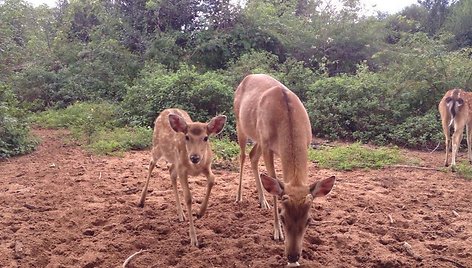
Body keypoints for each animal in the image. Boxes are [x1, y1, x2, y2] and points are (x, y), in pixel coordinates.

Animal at [138, 108, 227, 247]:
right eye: (187, 137)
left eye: (205, 137)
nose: (194, 157)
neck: (194, 167)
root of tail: (165, 111)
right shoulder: (182, 170)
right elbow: (188, 198)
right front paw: (194, 240)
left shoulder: (206, 166)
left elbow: (212, 179)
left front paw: (200, 212)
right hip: (157, 146)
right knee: (151, 164)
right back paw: (141, 201)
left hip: (174, 161)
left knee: (170, 171)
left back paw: (181, 215)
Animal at [234, 74, 334, 264]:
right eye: (282, 216)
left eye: (309, 220)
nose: (293, 256)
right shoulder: (267, 147)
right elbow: (274, 186)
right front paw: (277, 233)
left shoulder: (306, 142)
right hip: (240, 124)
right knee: (242, 155)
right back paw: (239, 197)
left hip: (257, 137)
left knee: (252, 156)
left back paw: (262, 201)